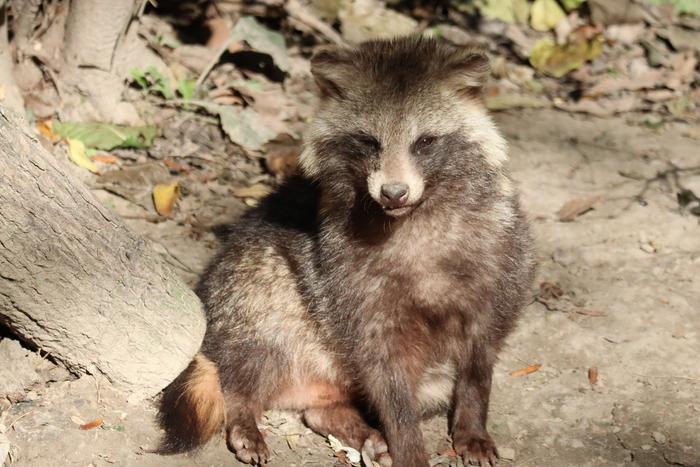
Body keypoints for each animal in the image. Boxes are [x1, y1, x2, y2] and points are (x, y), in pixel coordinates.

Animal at [157, 36, 536, 467]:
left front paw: (471, 423)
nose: (393, 192)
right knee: (247, 360)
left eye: (424, 142)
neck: (412, 221)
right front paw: (409, 445)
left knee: (326, 409)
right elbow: (388, 380)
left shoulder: (500, 264)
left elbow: (479, 361)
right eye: (369, 142)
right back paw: (243, 413)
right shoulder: (351, 288)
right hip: (256, 290)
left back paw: (352, 425)